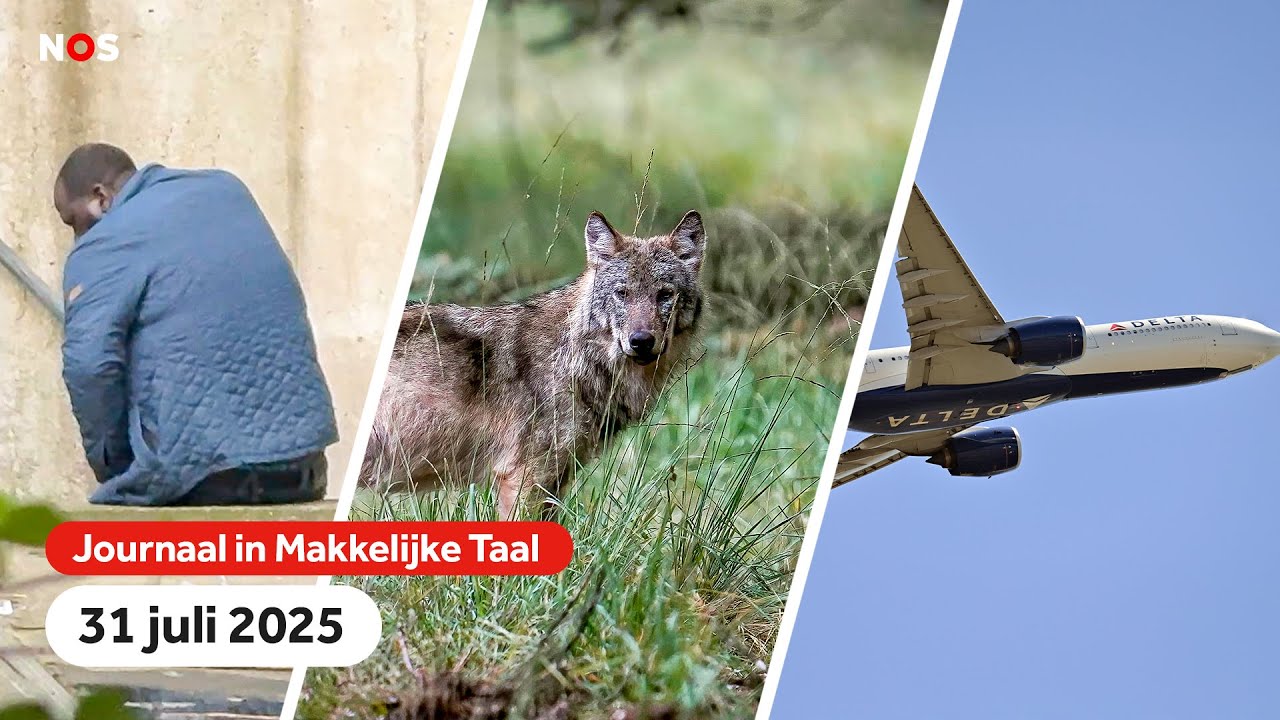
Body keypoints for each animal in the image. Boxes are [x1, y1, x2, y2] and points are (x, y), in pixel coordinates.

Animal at [362, 210, 707, 519]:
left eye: (665, 295)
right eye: (622, 293)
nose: (641, 341)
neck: (574, 356)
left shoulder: (556, 478)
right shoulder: (525, 476)